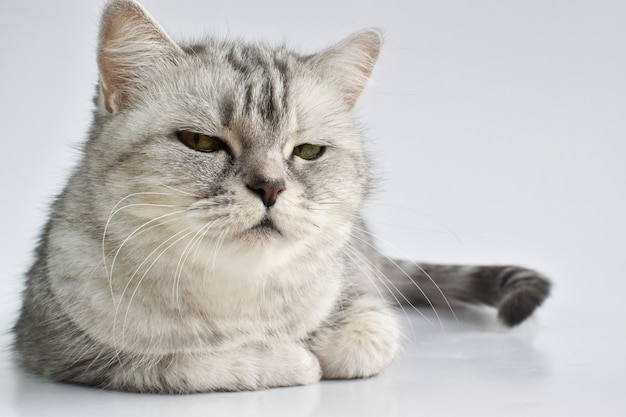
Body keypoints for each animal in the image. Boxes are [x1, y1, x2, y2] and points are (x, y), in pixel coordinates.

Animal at [11, 0, 544, 394]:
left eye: (307, 151)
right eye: (200, 142)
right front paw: (289, 358)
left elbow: (369, 335)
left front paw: (323, 345)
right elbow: (190, 362)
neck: (237, 296)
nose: (270, 186)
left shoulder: (359, 288)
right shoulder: (64, 349)